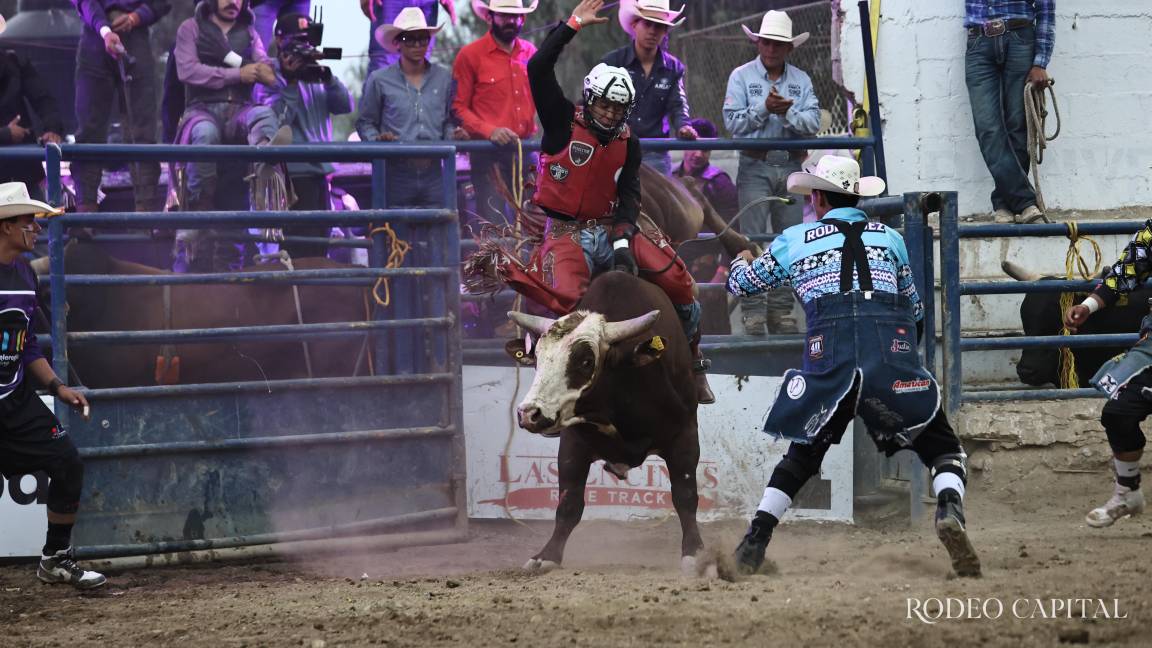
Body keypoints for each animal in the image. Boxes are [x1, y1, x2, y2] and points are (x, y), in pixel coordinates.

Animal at [505, 270, 707, 576]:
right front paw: (546, 556)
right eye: (537, 358)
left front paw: (694, 553)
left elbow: (685, 496)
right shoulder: (572, 442)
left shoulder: (685, 435)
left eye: (586, 361)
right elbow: (569, 504)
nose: (529, 413)